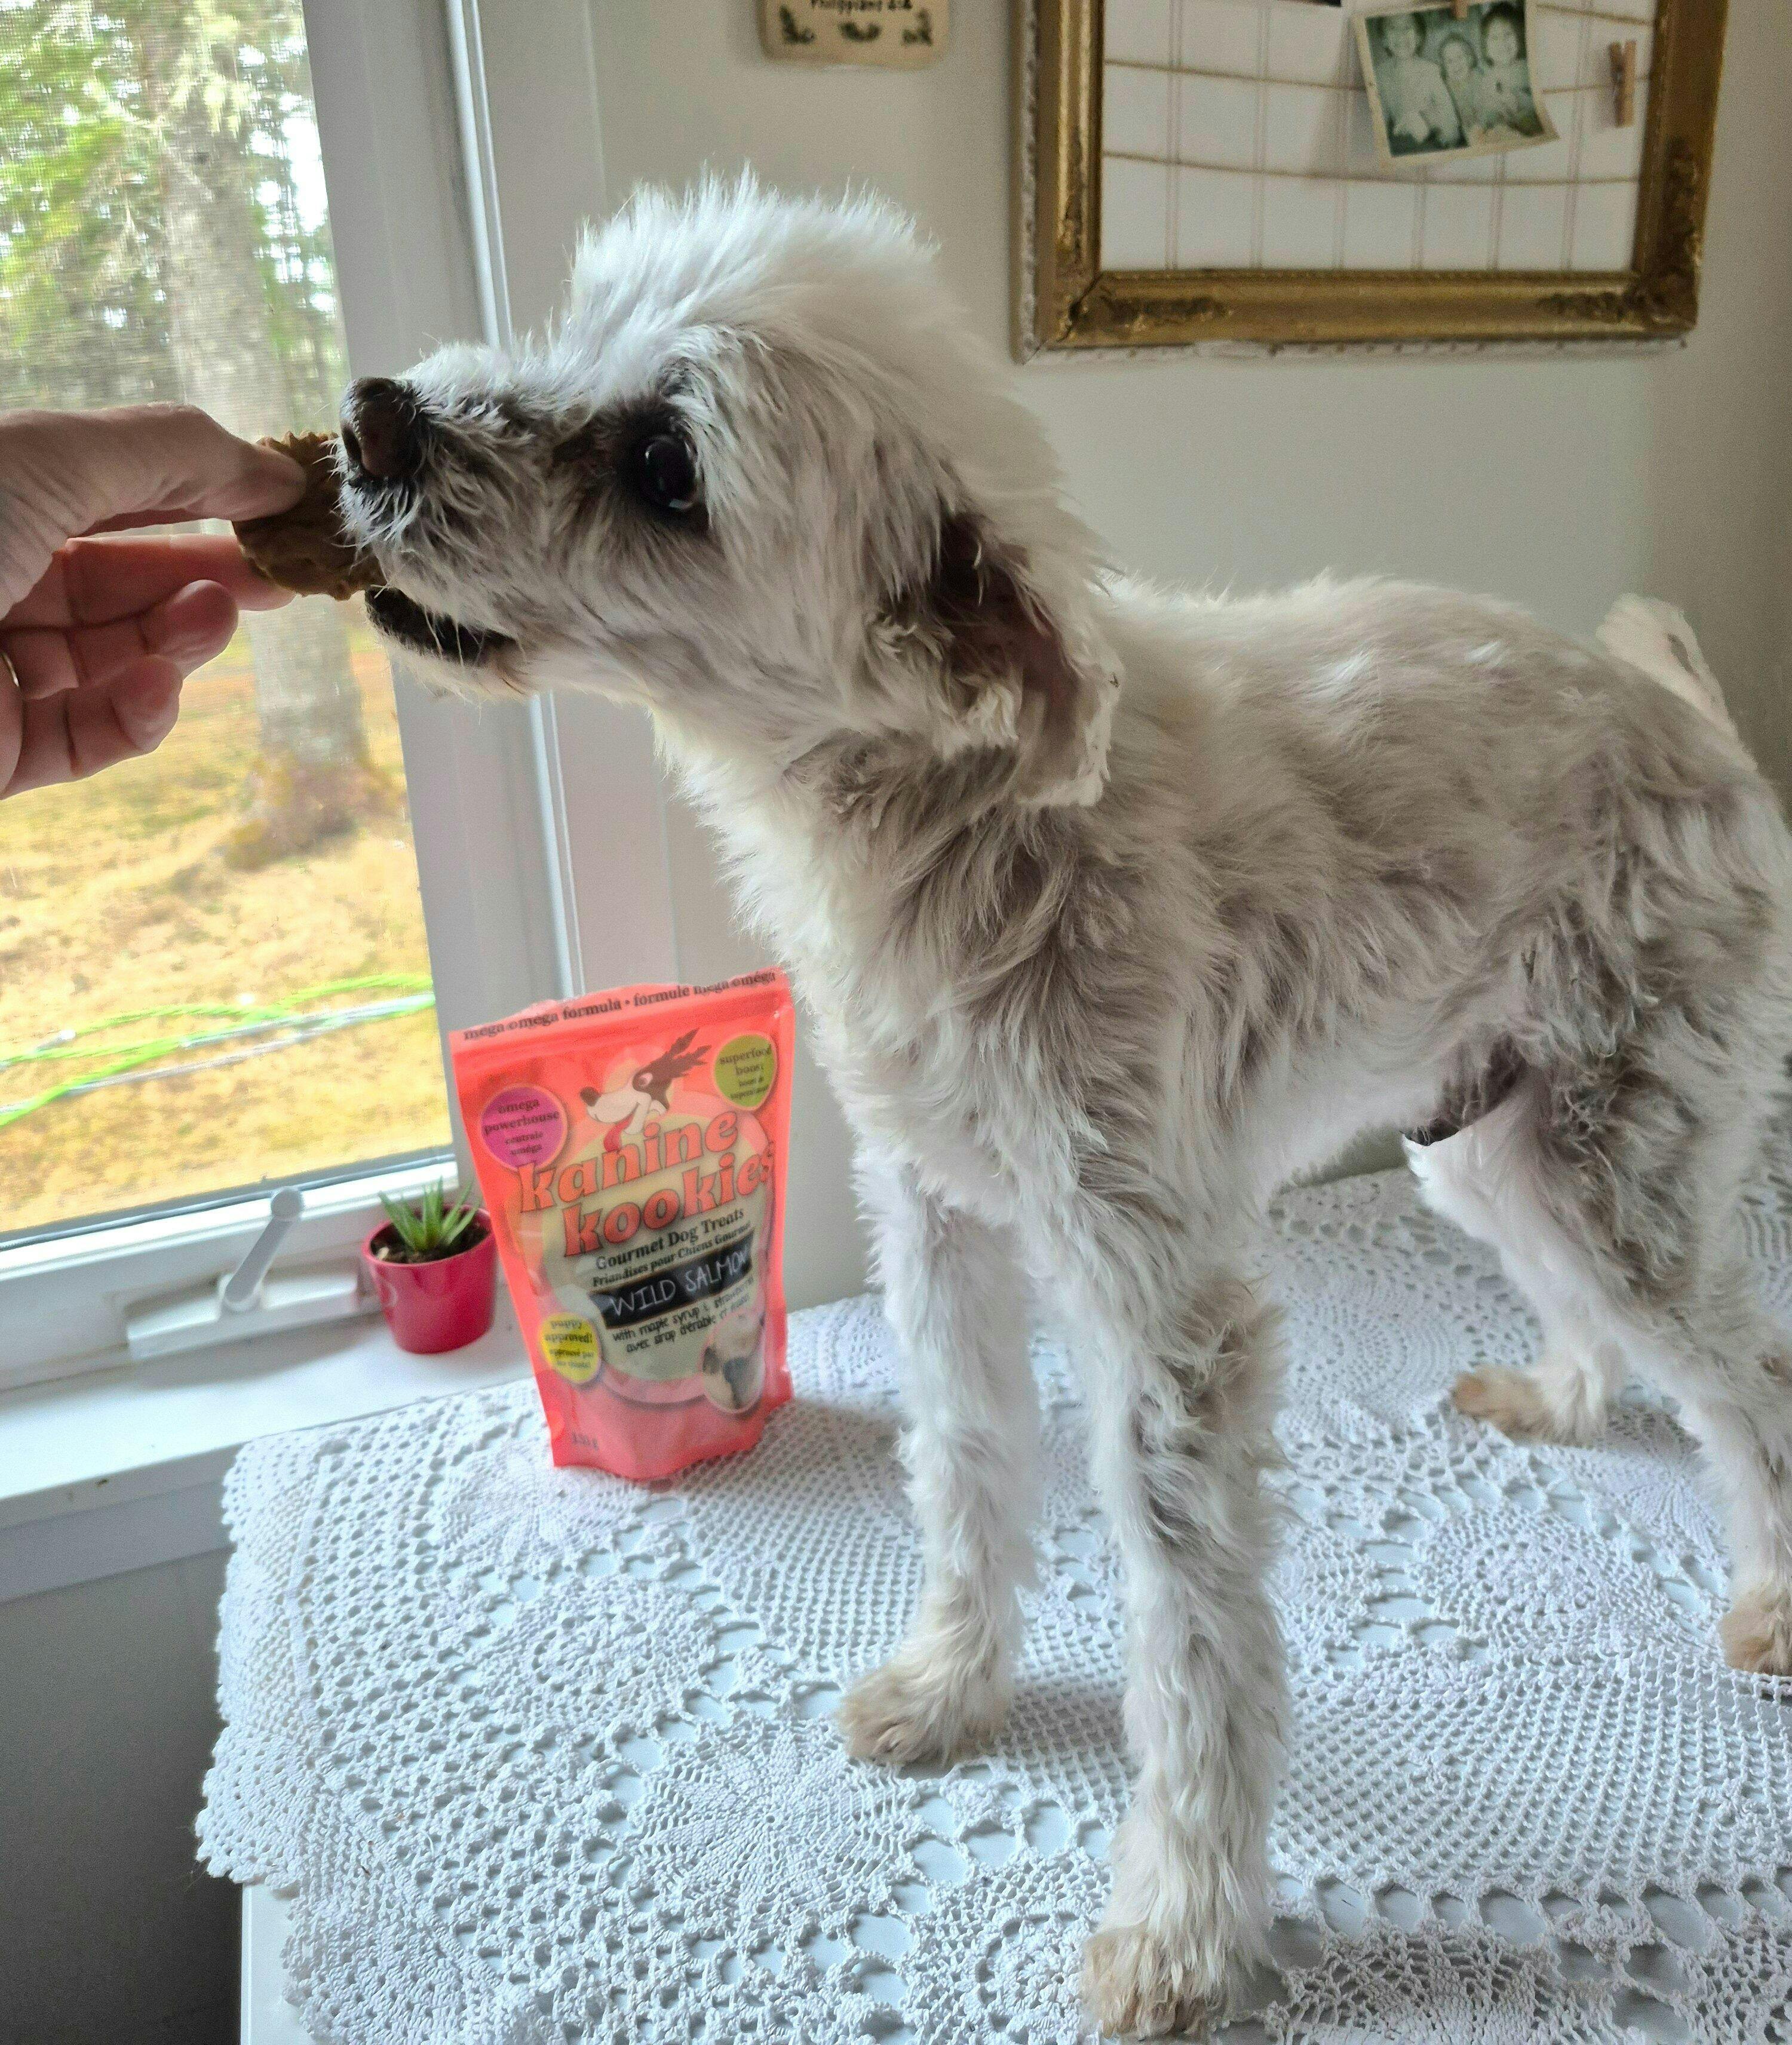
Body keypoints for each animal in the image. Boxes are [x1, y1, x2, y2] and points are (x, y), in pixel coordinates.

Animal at [339, 180, 1792, 2035]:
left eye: (665, 463)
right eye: (568, 322)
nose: (370, 417)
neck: (966, 824)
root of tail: (1692, 724)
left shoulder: (1161, 1309)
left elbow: (1195, 1647)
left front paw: (1182, 1930)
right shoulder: (942, 1221)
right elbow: (965, 1474)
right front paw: (950, 1693)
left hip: (1619, 1172)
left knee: (1754, 1384)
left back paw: (1770, 1601)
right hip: (1498, 1155)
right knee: (1612, 1330)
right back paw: (1558, 1396)